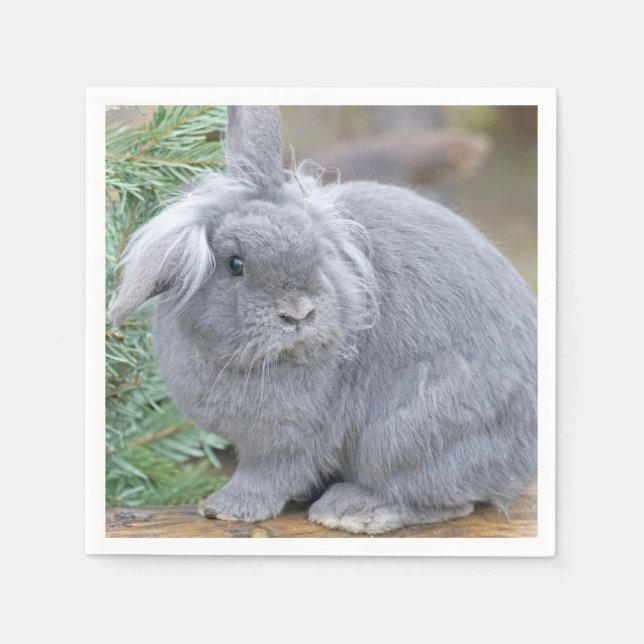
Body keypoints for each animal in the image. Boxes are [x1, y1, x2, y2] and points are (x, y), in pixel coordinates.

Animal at [110, 106, 537, 534]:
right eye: (235, 264)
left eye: (317, 253)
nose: (298, 313)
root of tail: (524, 454)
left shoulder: (289, 441)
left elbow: (268, 475)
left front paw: (226, 507)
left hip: (408, 434)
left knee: (446, 501)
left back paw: (353, 510)